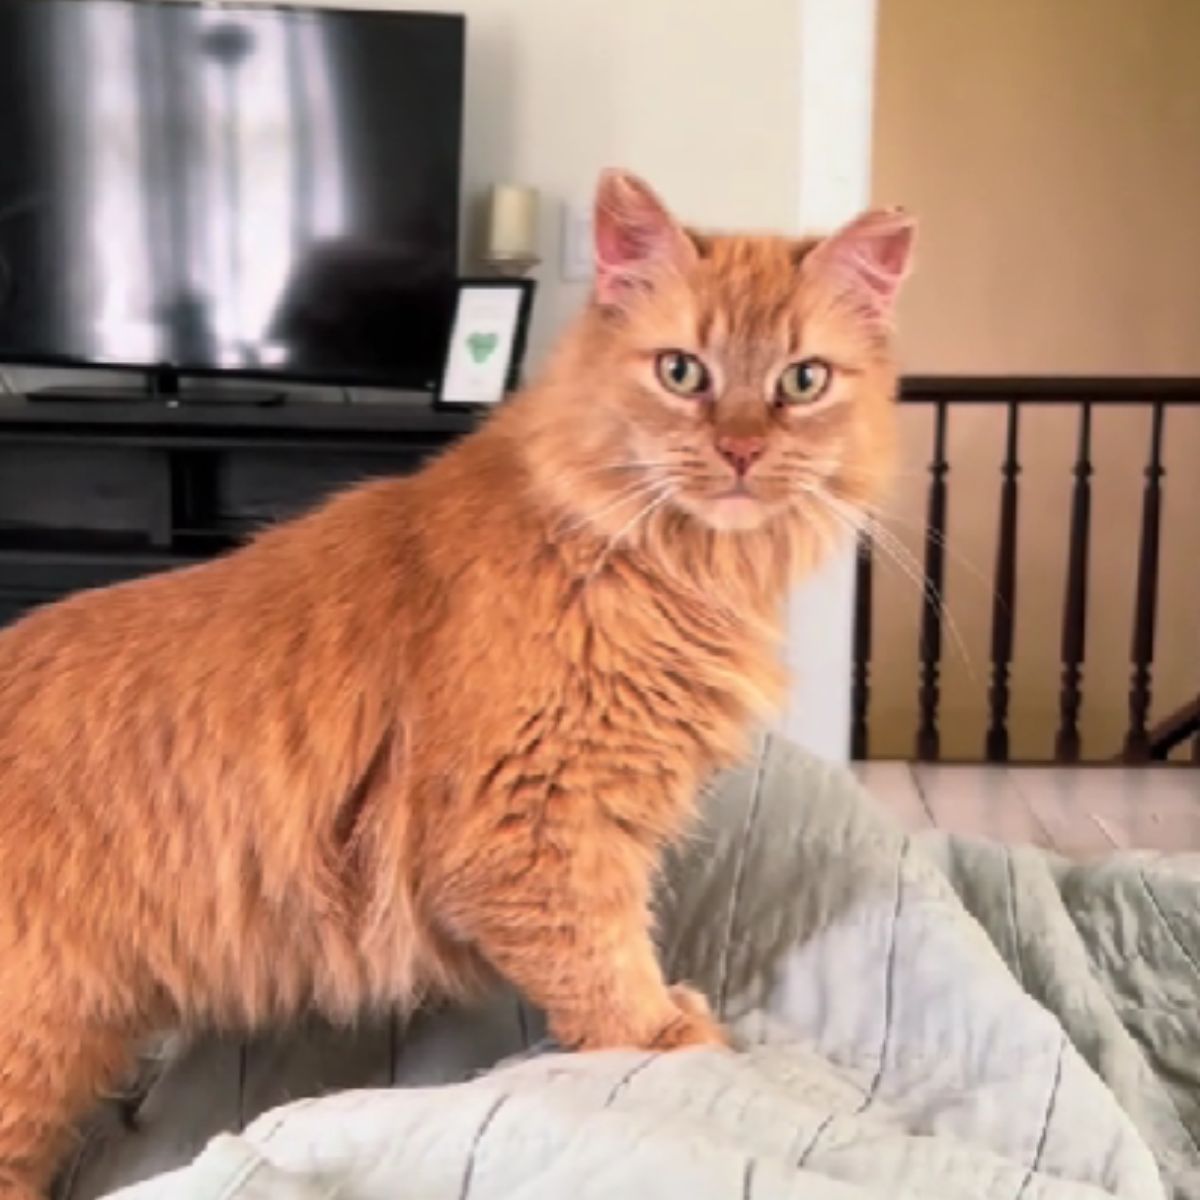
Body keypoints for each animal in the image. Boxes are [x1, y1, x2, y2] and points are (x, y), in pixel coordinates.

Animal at [0, 171, 907, 1200]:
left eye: (803, 381)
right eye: (683, 373)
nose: (743, 451)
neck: (663, 566)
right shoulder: (534, 831)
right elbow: (609, 971)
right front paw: (676, 1037)